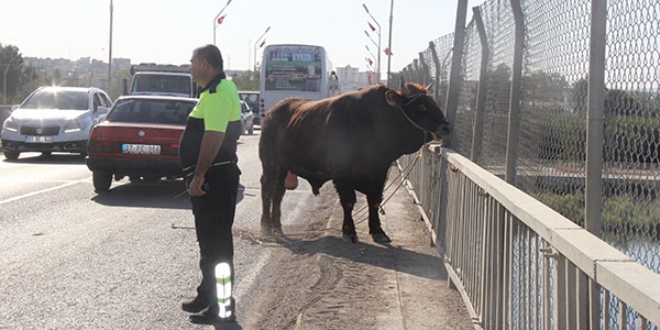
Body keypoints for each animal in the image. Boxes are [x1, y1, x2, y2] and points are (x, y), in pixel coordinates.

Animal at [260, 77, 452, 242]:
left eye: (434, 103)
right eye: (421, 107)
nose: (446, 127)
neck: (372, 123)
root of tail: (273, 111)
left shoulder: (379, 172)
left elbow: (374, 201)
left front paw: (377, 230)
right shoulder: (342, 174)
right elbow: (348, 201)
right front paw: (349, 230)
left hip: (283, 168)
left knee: (278, 193)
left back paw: (277, 226)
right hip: (270, 164)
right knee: (267, 190)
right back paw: (266, 227)